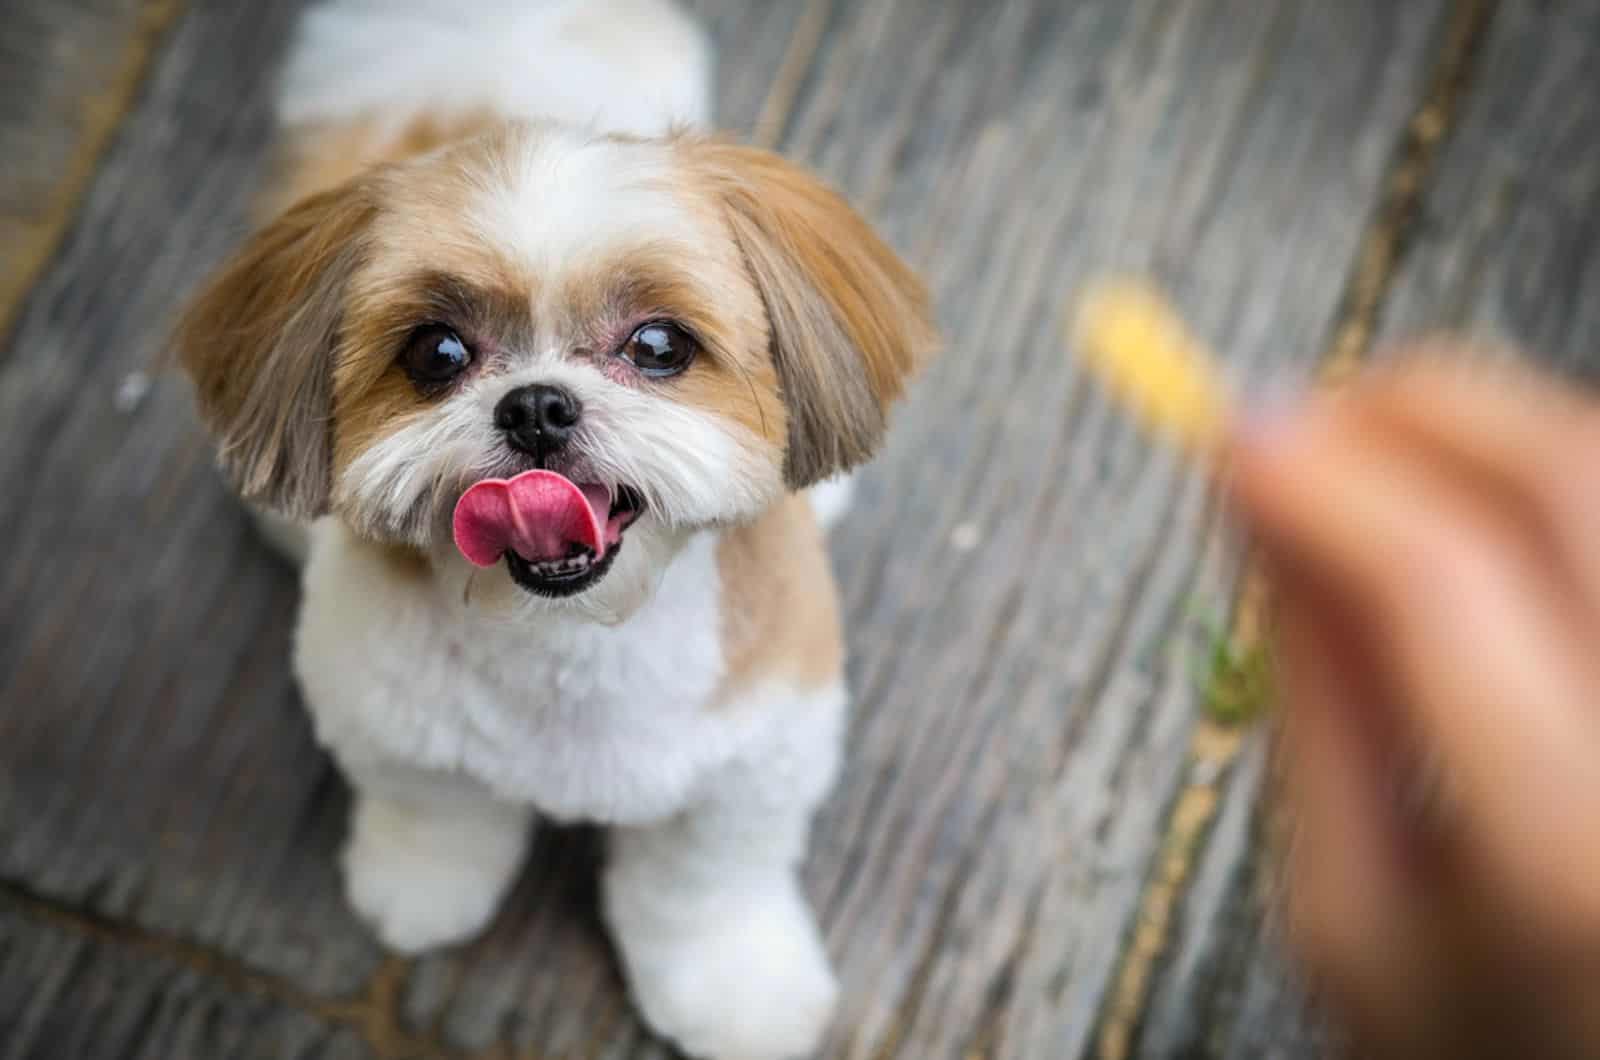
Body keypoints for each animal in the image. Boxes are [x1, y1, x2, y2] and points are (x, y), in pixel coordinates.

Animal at [172, 2, 934, 1060]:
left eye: (658, 345)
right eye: (436, 353)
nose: (536, 407)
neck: (577, 646)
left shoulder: (754, 762)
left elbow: (704, 888)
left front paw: (736, 992)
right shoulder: (395, 729)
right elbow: (437, 815)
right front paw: (419, 890)